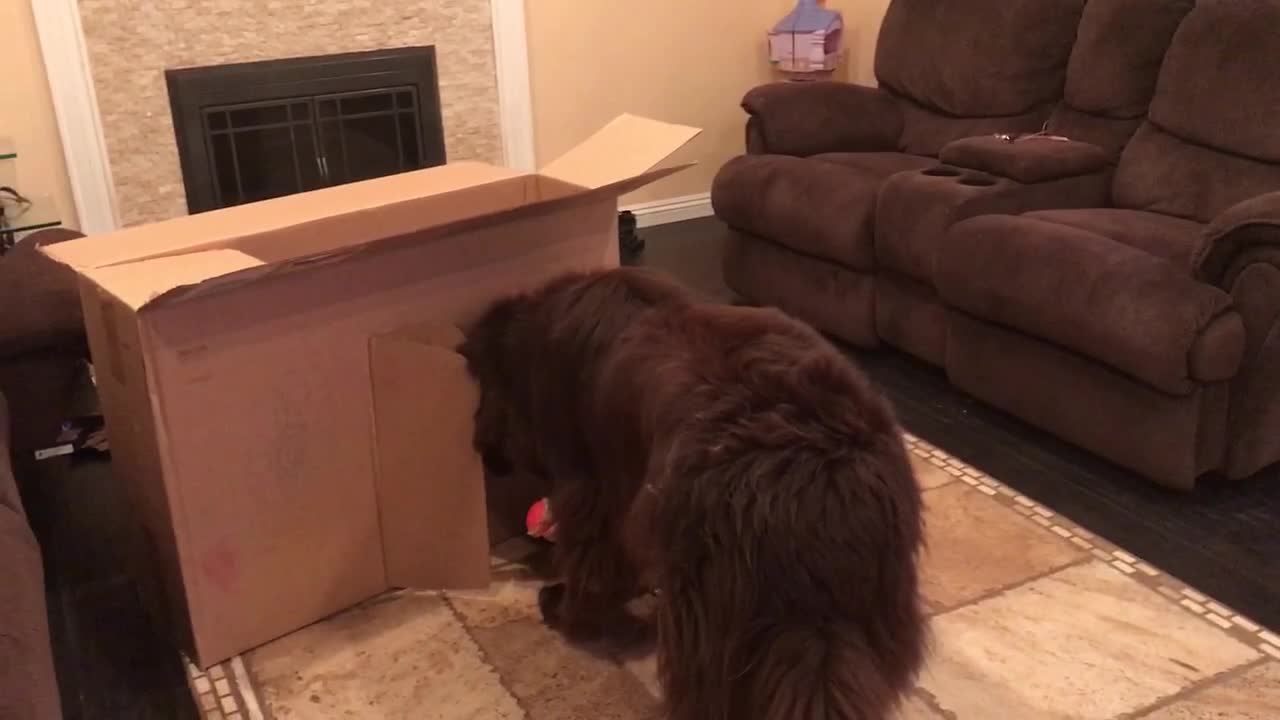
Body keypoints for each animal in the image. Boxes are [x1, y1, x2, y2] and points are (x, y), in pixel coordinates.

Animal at [460, 267, 921, 717]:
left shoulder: (591, 491)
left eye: (485, 389)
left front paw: (566, 609)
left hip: (707, 612)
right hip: (867, 616)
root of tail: (814, 486)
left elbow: (591, 563)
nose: (479, 447)